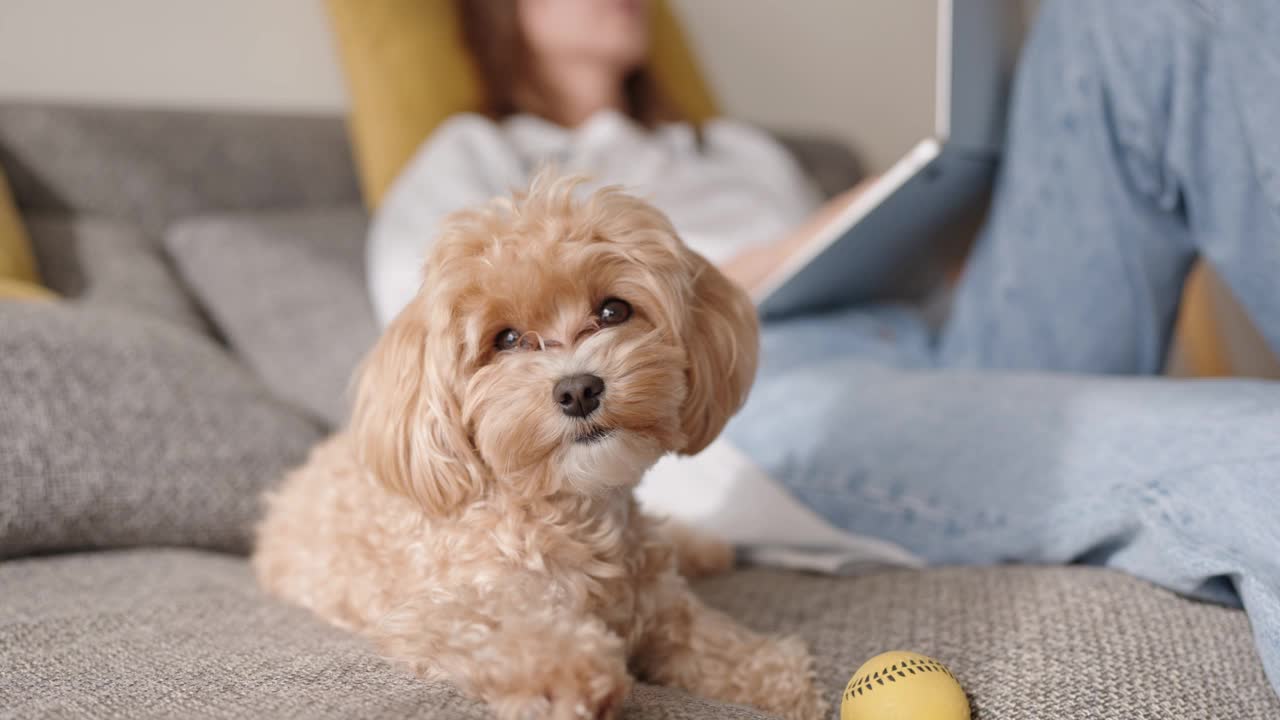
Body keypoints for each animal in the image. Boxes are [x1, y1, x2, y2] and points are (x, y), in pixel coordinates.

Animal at [254, 175, 819, 717]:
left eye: (613, 310)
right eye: (505, 340)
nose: (578, 390)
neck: (569, 509)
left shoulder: (660, 607)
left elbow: (708, 640)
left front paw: (777, 675)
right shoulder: (442, 609)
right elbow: (511, 631)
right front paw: (569, 674)